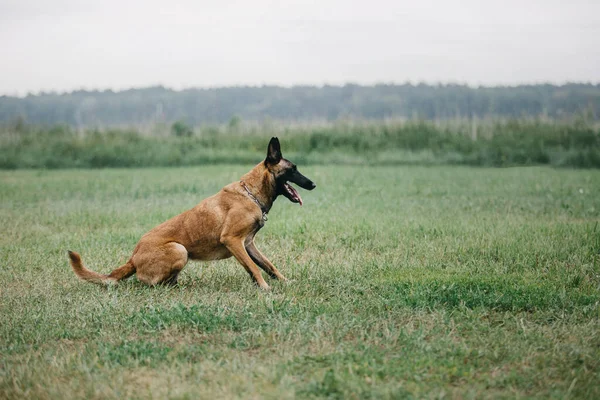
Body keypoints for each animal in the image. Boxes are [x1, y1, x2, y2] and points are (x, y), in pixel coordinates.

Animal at [68, 136, 316, 290]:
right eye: (293, 170)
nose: (313, 184)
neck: (250, 194)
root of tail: (133, 258)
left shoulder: (248, 244)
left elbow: (268, 265)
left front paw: (283, 281)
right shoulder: (233, 241)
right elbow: (254, 268)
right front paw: (264, 288)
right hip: (180, 250)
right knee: (151, 283)